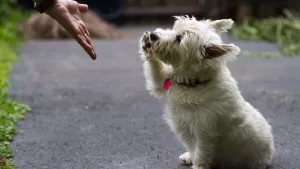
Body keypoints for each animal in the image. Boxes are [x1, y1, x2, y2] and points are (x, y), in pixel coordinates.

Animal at [138, 15, 274, 169]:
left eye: (179, 39)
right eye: (174, 28)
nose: (153, 35)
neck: (193, 83)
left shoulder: (206, 133)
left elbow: (201, 154)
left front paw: (198, 166)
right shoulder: (161, 83)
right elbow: (155, 70)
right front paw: (146, 44)